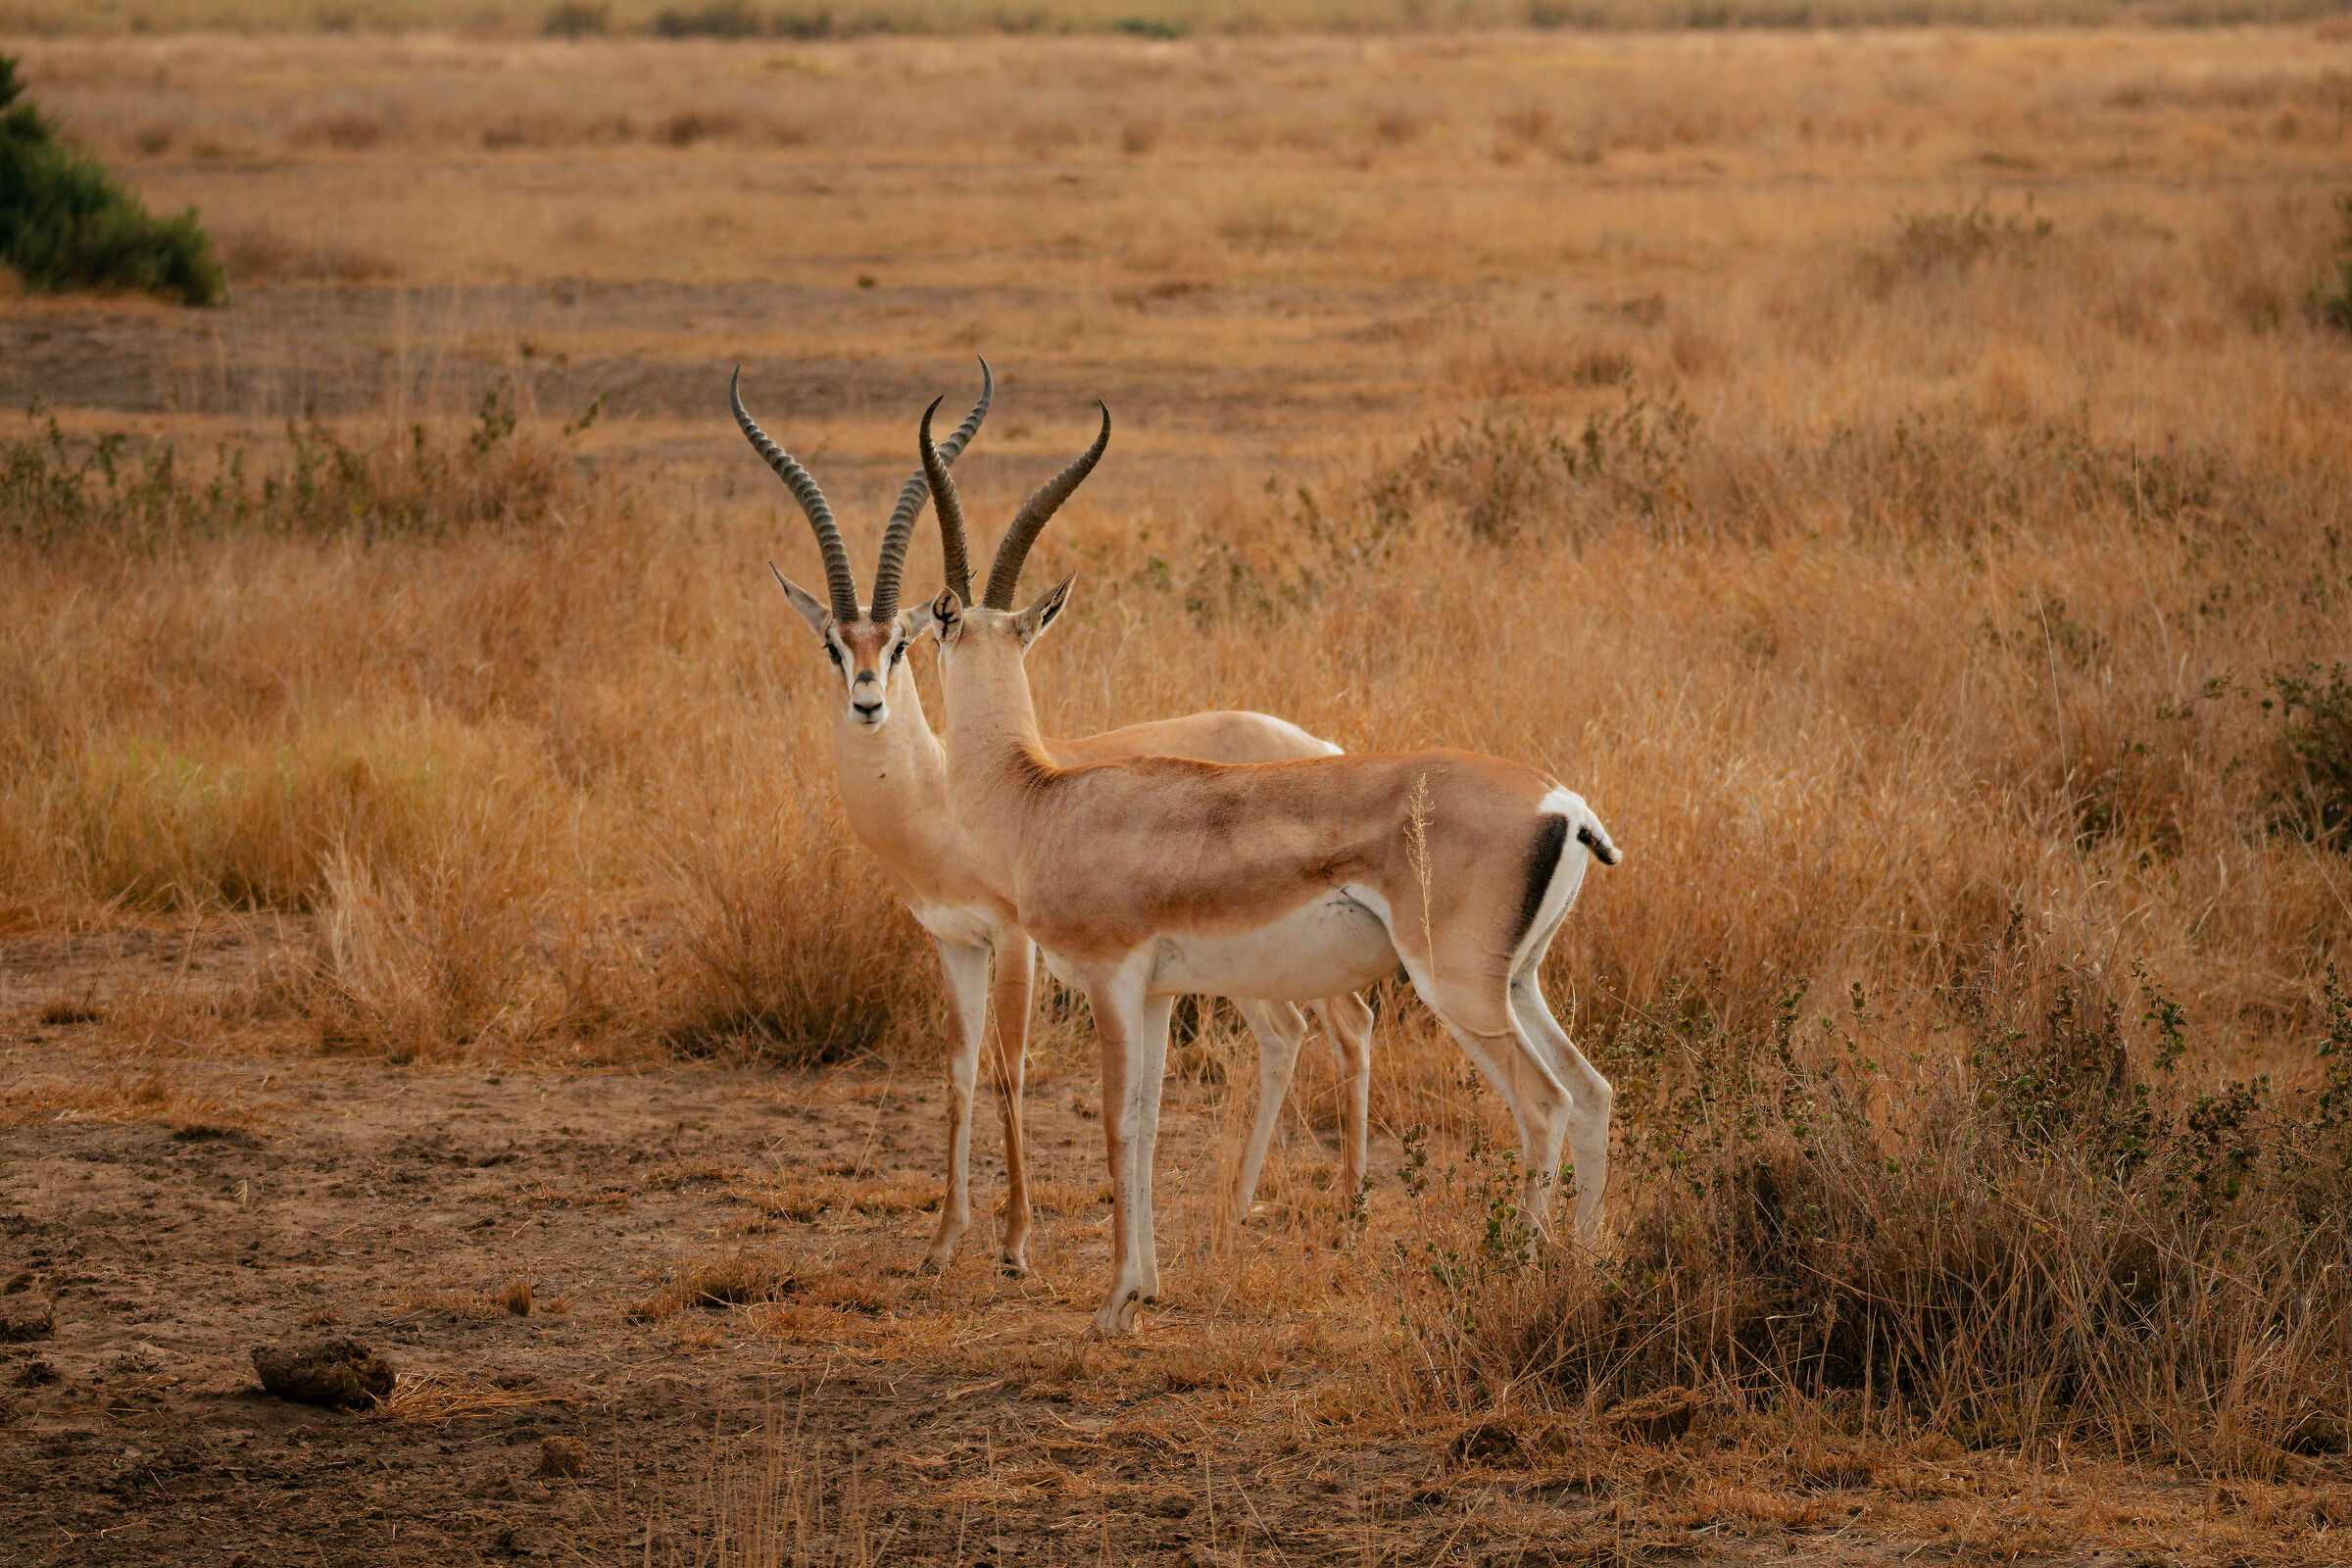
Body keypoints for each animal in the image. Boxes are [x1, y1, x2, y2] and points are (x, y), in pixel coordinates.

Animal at [730, 364, 1374, 1278]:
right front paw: (942, 1242)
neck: (956, 795)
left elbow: (1011, 1070)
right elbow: (959, 1075)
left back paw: (1346, 1211)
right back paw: (1237, 1208)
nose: (867, 702)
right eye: (833, 644)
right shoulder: (952, 942)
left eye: (899, 643)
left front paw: (1014, 1243)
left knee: (1348, 1028)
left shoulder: (1016, 943)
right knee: (1288, 1034)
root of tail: (1319, 743)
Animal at [918, 401, 1622, 1336]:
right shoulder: (1158, 994)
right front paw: (1143, 1289)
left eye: (940, 631)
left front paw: (1110, 1306)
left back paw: (1517, 1269)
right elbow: (1147, 1125)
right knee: (1593, 1093)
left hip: (1458, 989)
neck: (1043, 800)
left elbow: (1115, 1125)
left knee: (1543, 1105)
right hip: (1517, 983)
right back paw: (1582, 1268)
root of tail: (1563, 804)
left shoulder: (1110, 980)